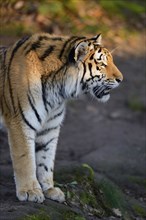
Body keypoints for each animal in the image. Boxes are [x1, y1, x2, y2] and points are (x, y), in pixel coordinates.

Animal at [0, 32, 123, 203]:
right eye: (102, 64)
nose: (121, 79)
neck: (58, 91)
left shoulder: (50, 128)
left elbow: (46, 159)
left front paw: (49, 189)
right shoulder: (20, 122)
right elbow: (26, 160)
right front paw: (30, 191)